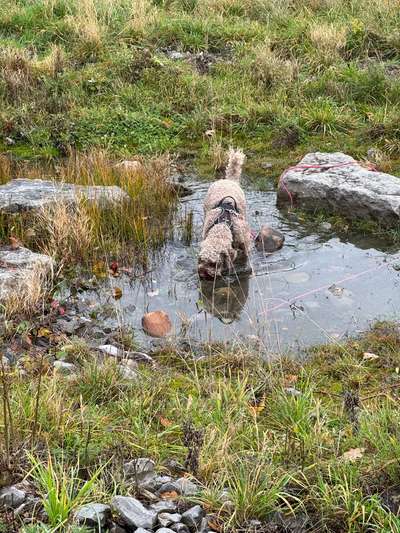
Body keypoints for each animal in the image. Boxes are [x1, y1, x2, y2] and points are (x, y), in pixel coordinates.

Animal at [198, 147, 252, 276]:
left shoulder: (244, 243)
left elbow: (245, 255)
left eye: (214, 264)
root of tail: (228, 180)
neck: (223, 225)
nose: (202, 274)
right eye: (201, 260)